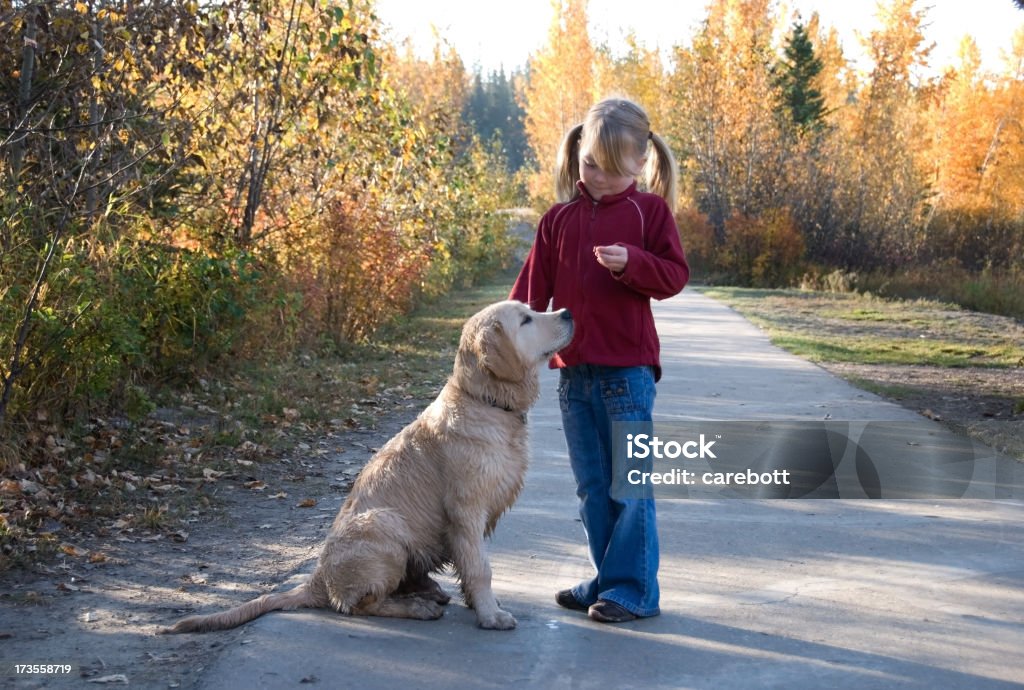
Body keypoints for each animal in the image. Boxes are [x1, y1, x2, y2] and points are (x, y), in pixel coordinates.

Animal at [163, 298, 573, 630]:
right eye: (526, 319)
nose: (568, 312)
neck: (485, 401)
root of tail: (319, 579)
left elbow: (471, 569)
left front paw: (480, 606)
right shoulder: (466, 512)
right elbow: (480, 569)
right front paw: (490, 615)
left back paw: (426, 592)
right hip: (384, 525)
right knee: (359, 604)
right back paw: (416, 607)